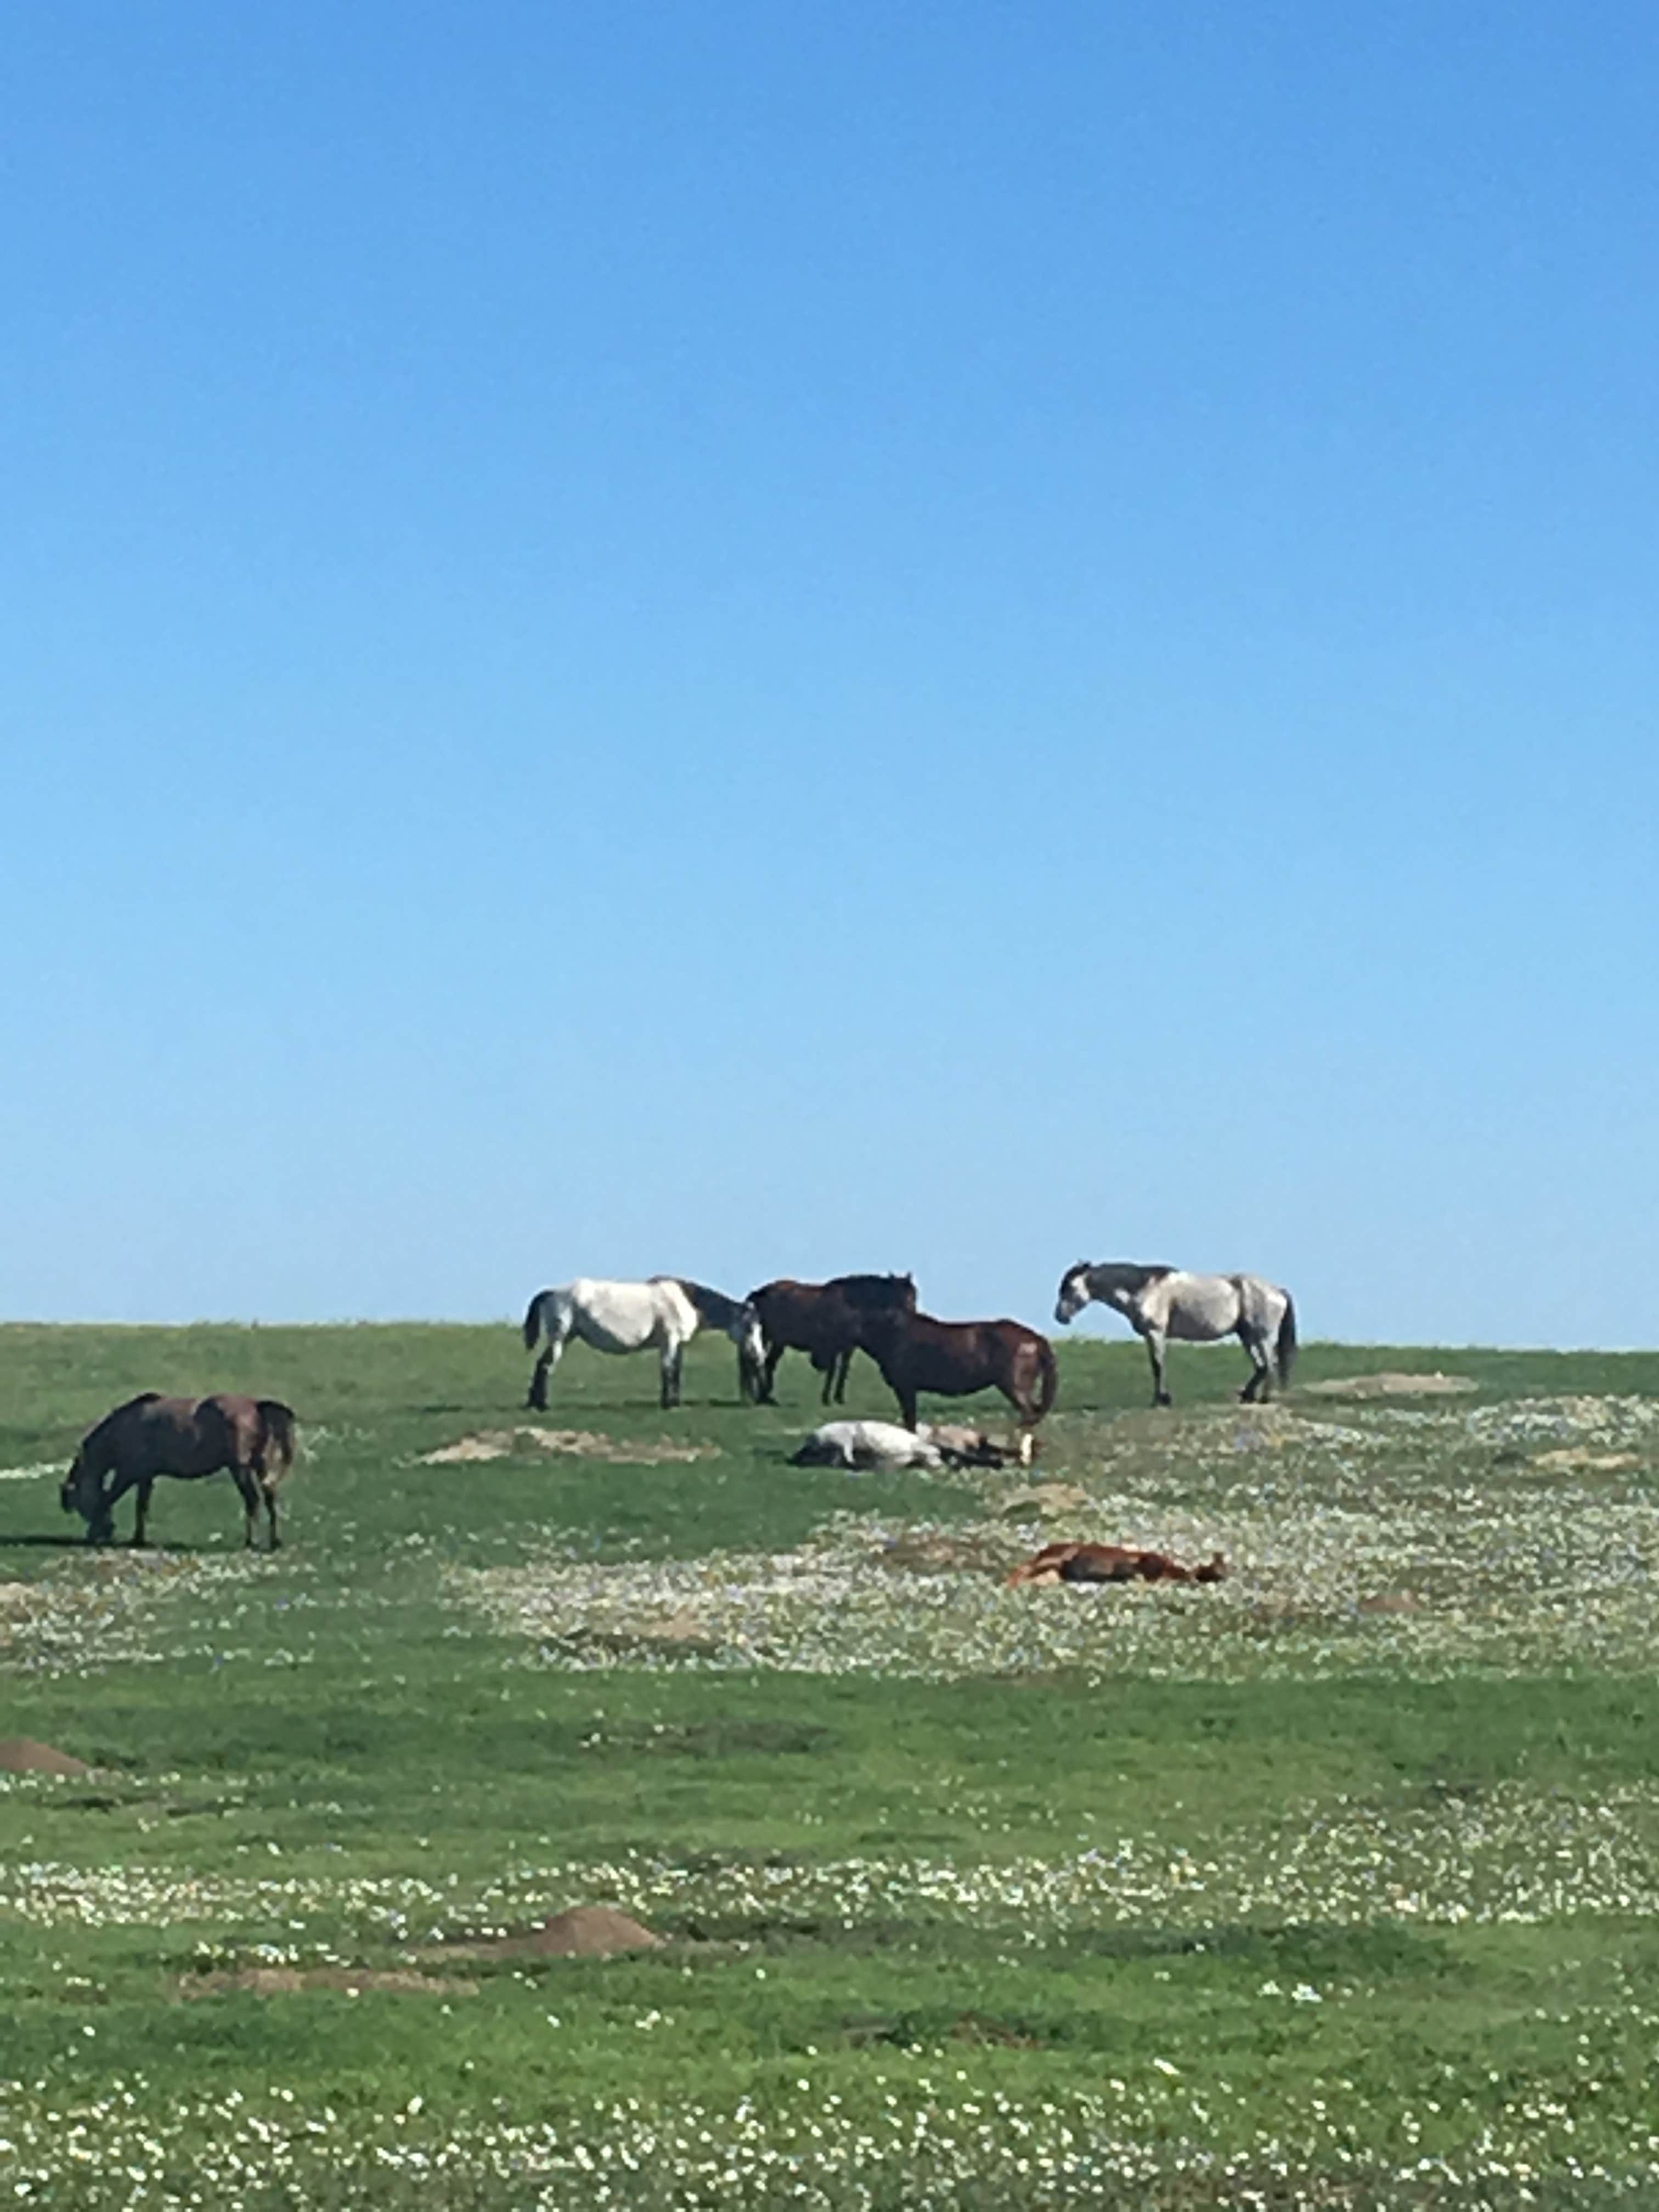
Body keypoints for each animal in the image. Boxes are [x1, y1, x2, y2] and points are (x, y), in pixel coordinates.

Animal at [60, 1393, 297, 1551]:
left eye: (78, 1501)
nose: (106, 1531)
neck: (126, 1427)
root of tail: (256, 1405)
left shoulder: (128, 1474)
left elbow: (109, 1498)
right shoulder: (146, 1477)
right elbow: (141, 1507)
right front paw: (139, 1538)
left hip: (240, 1469)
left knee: (253, 1500)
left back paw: (251, 1541)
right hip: (260, 1466)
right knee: (270, 1498)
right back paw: (275, 1541)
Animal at [521, 1277, 764, 1410]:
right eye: (750, 1328)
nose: (760, 1357)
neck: (686, 1300)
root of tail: (552, 1292)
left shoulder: (676, 1345)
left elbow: (675, 1372)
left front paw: (674, 1402)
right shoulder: (669, 1341)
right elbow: (668, 1370)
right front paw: (668, 1404)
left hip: (567, 1338)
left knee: (543, 1365)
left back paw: (535, 1403)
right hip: (560, 1338)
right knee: (545, 1366)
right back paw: (541, 1405)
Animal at [744, 1273, 918, 1405]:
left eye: (914, 1295)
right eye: (901, 1296)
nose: (912, 1315)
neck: (850, 1306)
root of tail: (761, 1292)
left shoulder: (848, 1347)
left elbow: (843, 1370)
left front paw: (839, 1398)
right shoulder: (833, 1345)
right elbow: (833, 1371)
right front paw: (827, 1398)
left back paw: (763, 1396)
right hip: (775, 1340)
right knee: (767, 1363)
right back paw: (766, 1396)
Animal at [855, 1306, 1057, 1433]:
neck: (891, 1333)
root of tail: (1037, 1339)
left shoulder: (905, 1387)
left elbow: (910, 1420)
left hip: (1013, 1386)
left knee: (1029, 1414)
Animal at [1054, 1261, 1297, 1406]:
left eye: (1070, 1288)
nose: (1060, 1317)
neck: (1147, 1289)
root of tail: (1277, 1291)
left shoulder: (1156, 1333)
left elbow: (1158, 1365)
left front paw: (1160, 1400)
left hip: (1263, 1337)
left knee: (1270, 1364)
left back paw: (1264, 1398)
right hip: (1246, 1336)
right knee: (1261, 1367)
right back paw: (1248, 1396)